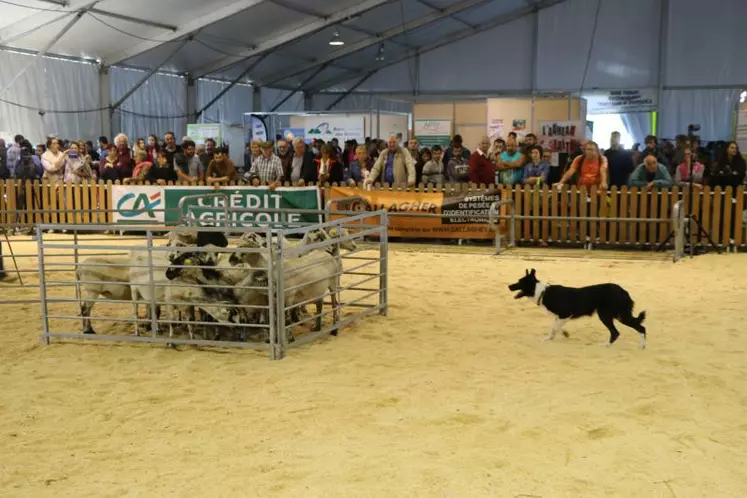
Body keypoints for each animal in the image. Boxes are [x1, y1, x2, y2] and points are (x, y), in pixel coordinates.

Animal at [508, 270, 648, 348]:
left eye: (519, 282)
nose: (509, 286)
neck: (542, 292)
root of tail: (624, 291)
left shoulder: (565, 314)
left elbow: (554, 328)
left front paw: (550, 338)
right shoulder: (560, 316)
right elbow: (555, 327)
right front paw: (558, 335)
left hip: (608, 315)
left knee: (624, 331)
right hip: (617, 315)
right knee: (636, 328)